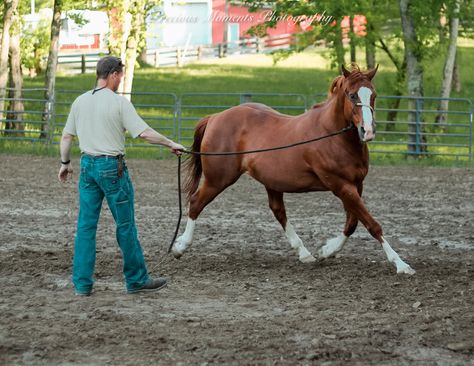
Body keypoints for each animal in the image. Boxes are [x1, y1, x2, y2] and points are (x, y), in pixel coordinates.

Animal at [171, 64, 414, 274]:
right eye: (352, 95)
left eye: (373, 95)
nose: (368, 131)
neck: (331, 136)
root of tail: (215, 117)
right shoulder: (341, 186)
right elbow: (372, 224)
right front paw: (401, 265)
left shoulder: (356, 185)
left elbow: (353, 223)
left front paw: (326, 251)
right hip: (218, 178)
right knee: (196, 203)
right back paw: (180, 247)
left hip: (270, 181)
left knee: (278, 212)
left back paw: (305, 254)